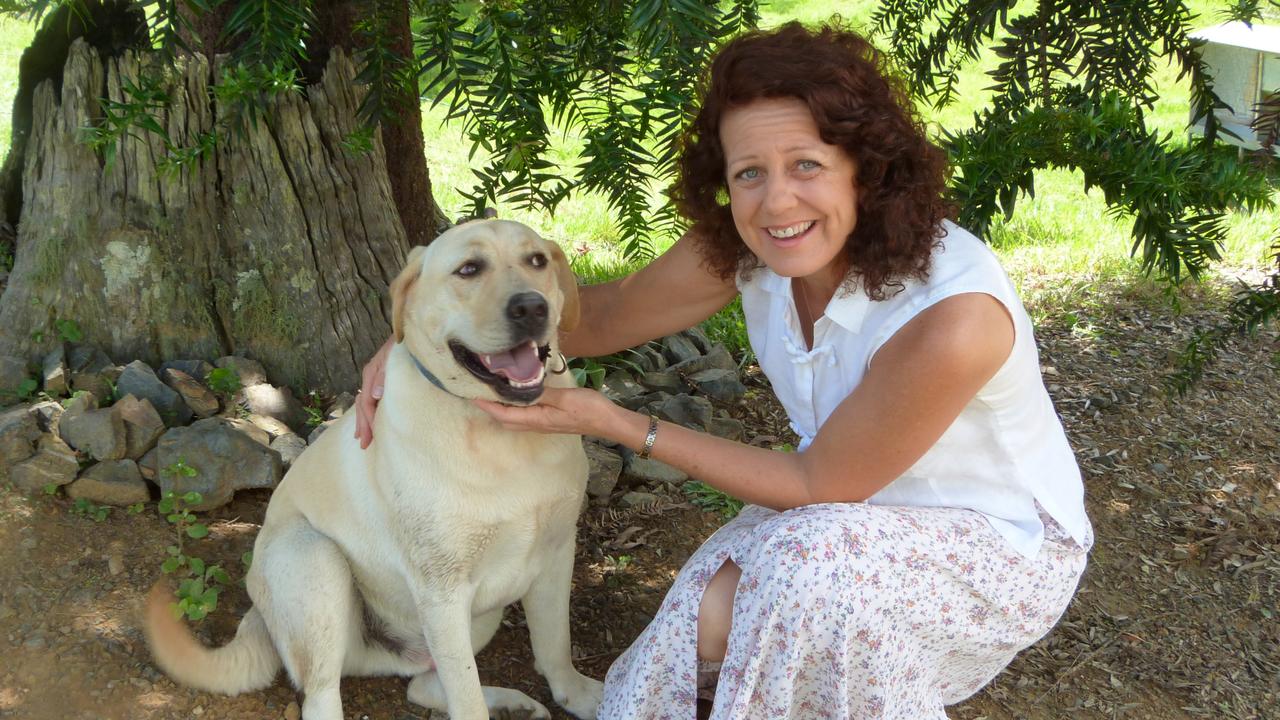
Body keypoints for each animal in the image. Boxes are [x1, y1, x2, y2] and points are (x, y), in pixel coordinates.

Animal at [145, 219, 604, 717]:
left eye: (536, 260)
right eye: (468, 269)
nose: (532, 307)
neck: (500, 436)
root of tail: (259, 616)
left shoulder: (557, 552)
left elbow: (554, 644)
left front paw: (578, 695)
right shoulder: (441, 591)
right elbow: (466, 699)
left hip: (478, 617)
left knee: (423, 685)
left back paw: (510, 704)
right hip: (315, 559)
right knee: (325, 696)